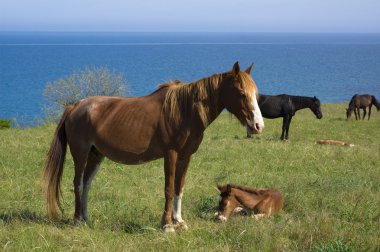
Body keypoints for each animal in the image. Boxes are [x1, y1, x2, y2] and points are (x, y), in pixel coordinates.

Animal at [40, 61, 262, 232]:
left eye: (255, 93)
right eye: (241, 93)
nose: (258, 125)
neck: (184, 110)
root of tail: (75, 106)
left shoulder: (186, 156)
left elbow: (179, 187)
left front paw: (179, 222)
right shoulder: (171, 154)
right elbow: (169, 189)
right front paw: (167, 225)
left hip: (96, 155)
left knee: (86, 184)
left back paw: (86, 218)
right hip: (81, 153)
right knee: (78, 183)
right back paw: (78, 220)